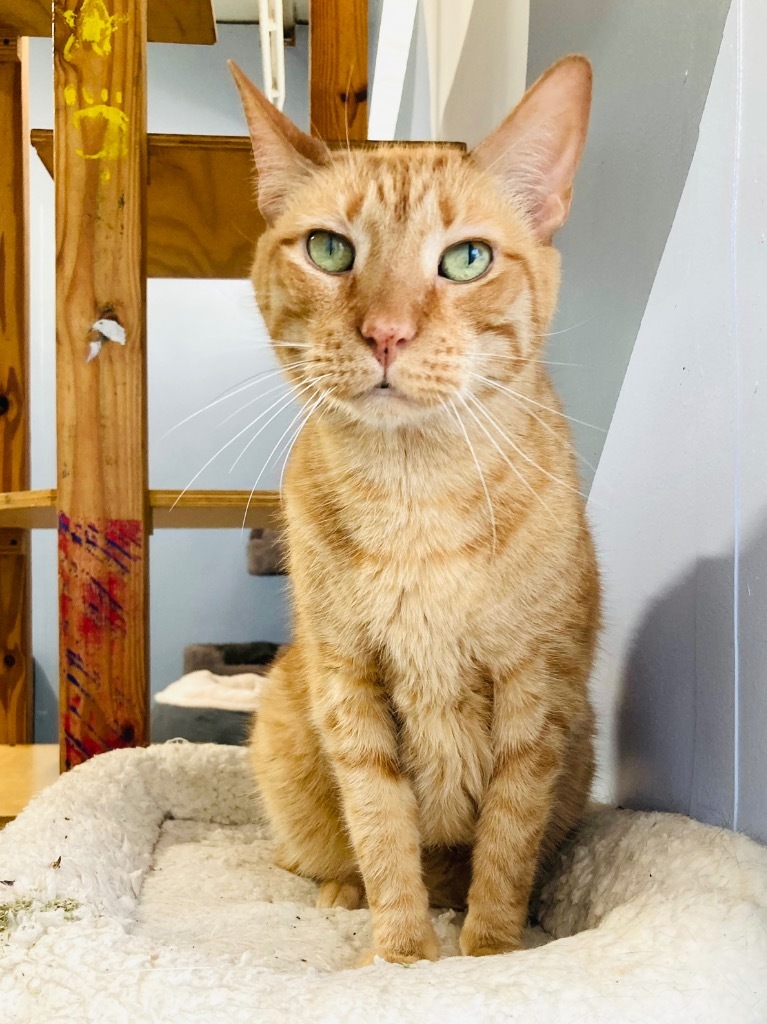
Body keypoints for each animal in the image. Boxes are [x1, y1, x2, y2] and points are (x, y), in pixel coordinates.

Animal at [230, 56, 602, 962]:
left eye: (465, 260)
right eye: (330, 249)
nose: (386, 334)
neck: (414, 495)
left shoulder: (534, 696)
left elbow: (504, 843)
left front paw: (490, 951)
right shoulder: (350, 686)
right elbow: (381, 828)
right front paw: (399, 955)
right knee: (325, 855)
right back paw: (341, 892)